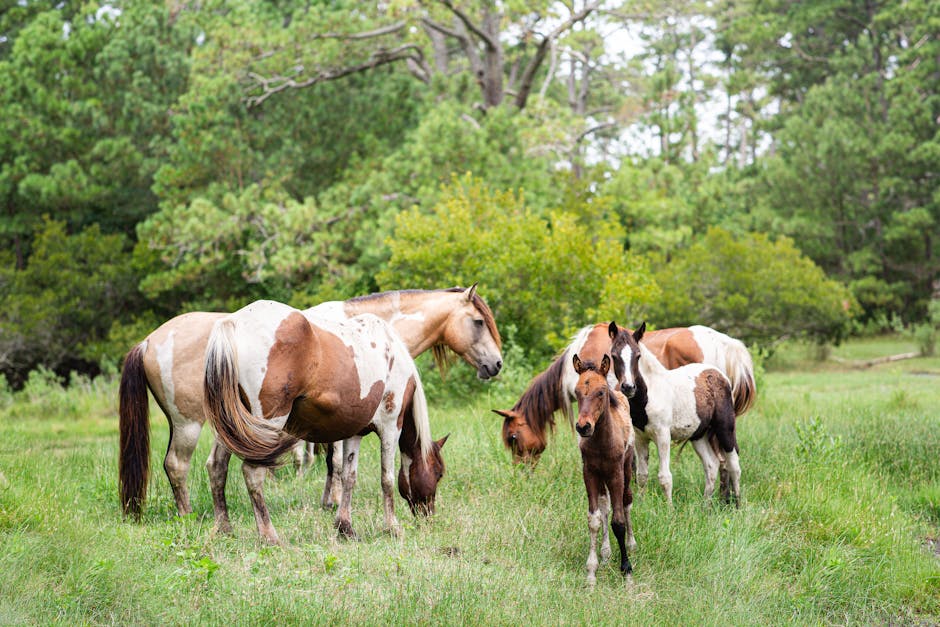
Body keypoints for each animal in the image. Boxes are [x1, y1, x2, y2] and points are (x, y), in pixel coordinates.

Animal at [199, 300, 448, 544]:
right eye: (439, 473)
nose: (429, 515)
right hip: (264, 427)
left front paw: (345, 528)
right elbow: (386, 479)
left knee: (217, 467)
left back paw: (224, 528)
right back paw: (270, 536)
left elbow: (348, 476)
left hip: (234, 428)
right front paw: (393, 528)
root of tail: (233, 322)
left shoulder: (355, 433)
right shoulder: (390, 426)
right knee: (252, 473)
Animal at [568, 350, 636, 588]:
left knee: (626, 501)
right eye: (577, 392)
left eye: (600, 392)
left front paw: (627, 569)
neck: (601, 443)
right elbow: (595, 519)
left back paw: (632, 544)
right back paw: (606, 553)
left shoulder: (616, 474)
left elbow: (619, 521)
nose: (583, 426)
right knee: (606, 505)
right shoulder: (589, 473)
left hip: (626, 469)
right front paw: (591, 571)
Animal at [608, 322, 740, 508]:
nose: (628, 387)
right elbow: (642, 475)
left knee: (734, 465)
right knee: (711, 466)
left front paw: (669, 508)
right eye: (614, 356)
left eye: (638, 355)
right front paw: (640, 503)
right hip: (699, 435)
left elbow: (665, 477)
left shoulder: (663, 435)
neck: (650, 394)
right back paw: (705, 506)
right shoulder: (641, 438)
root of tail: (720, 374)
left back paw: (738, 505)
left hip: (725, 428)